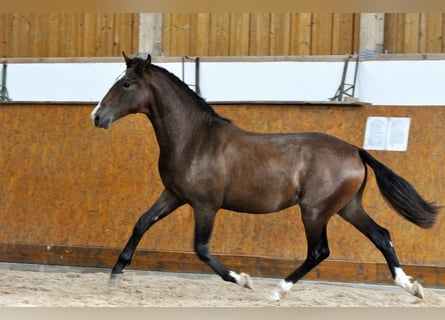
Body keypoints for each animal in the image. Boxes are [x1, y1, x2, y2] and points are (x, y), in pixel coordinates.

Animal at [90, 53, 438, 302]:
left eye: (126, 84)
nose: (97, 116)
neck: (194, 138)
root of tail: (356, 151)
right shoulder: (173, 195)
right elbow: (142, 223)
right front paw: (116, 272)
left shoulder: (205, 205)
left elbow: (201, 248)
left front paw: (242, 280)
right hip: (347, 207)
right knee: (381, 235)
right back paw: (411, 287)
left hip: (315, 212)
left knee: (319, 251)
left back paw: (278, 290)